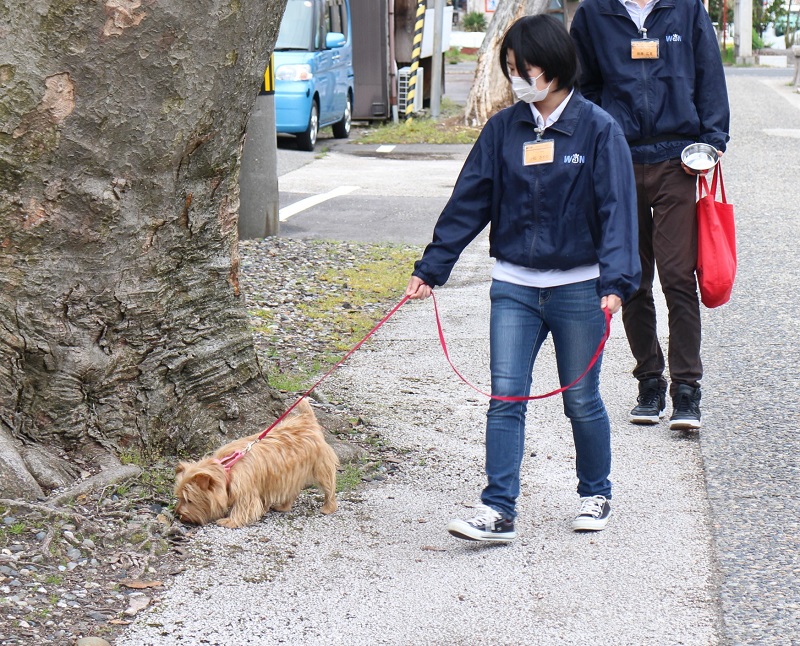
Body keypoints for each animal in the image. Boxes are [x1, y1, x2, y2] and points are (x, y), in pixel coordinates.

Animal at [175, 400, 338, 532]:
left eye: (189, 500)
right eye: (180, 497)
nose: (178, 515)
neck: (228, 469)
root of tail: (307, 419)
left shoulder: (246, 491)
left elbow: (243, 507)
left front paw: (230, 521)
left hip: (321, 468)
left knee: (329, 487)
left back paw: (328, 507)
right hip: (291, 474)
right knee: (291, 491)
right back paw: (283, 506)